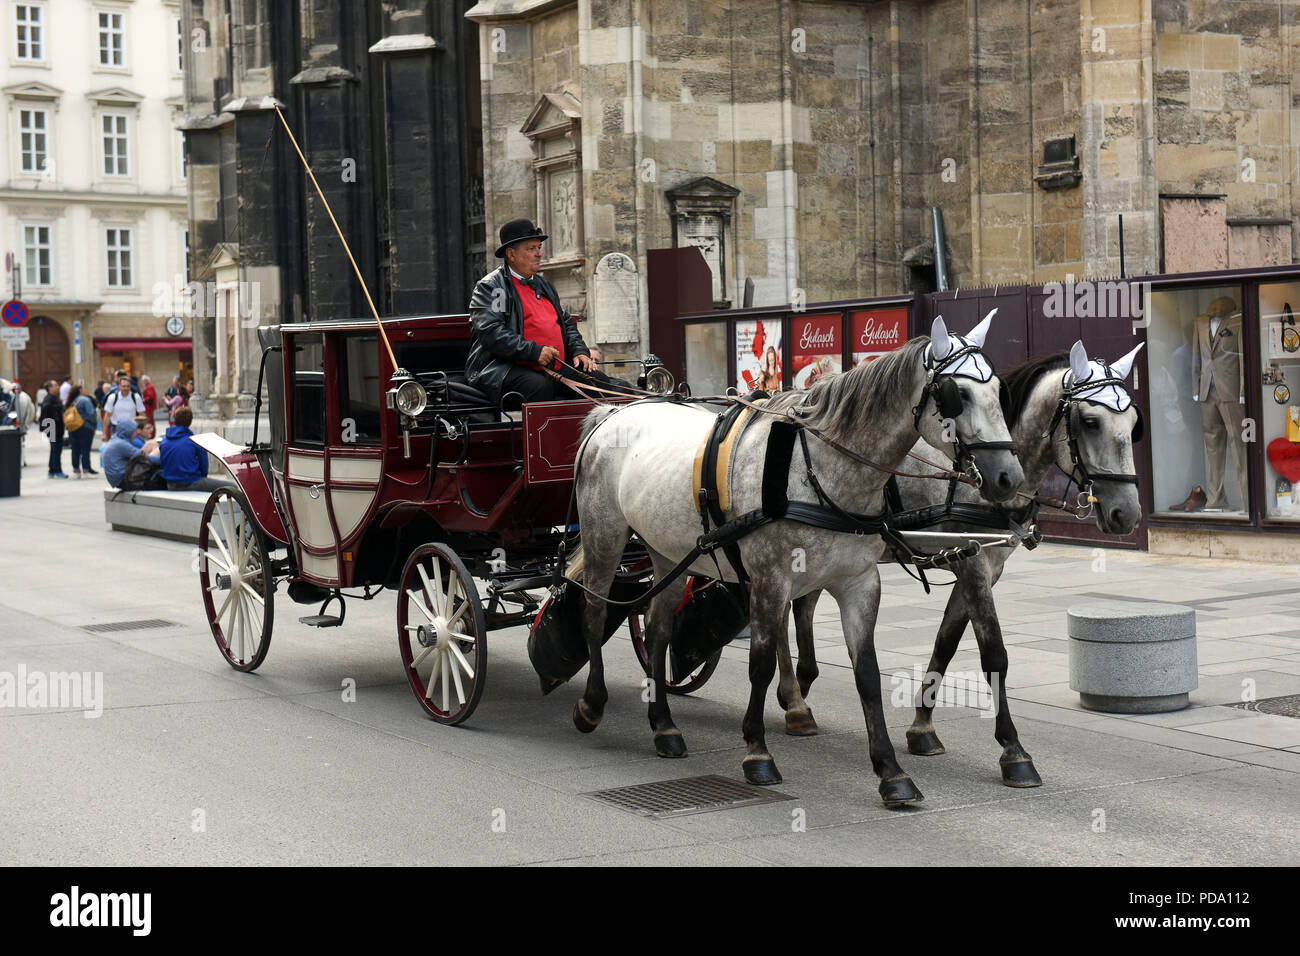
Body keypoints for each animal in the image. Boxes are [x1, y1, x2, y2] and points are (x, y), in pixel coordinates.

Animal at [571, 314, 1024, 807]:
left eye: (999, 391)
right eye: (955, 394)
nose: (1010, 478)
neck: (818, 468)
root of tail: (612, 412)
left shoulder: (859, 582)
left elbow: (867, 673)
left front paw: (891, 772)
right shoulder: (770, 579)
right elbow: (761, 663)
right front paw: (757, 753)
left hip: (666, 551)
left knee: (656, 632)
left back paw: (664, 727)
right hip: (604, 535)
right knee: (592, 613)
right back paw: (592, 704)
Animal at [777, 340, 1145, 788]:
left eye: (1134, 422)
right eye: (1090, 421)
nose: (1126, 514)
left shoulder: (978, 568)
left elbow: (946, 644)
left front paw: (922, 728)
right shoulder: (973, 568)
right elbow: (994, 655)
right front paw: (1013, 751)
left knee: (802, 606)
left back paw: (801, 690)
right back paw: (794, 699)